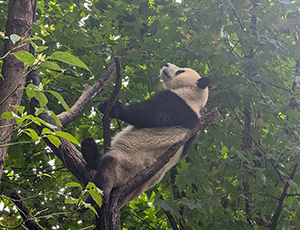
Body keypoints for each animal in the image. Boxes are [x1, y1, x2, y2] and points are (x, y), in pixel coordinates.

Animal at [81, 63, 210, 208]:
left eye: (180, 71)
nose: (166, 64)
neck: (194, 96)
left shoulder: (179, 105)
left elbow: (148, 115)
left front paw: (113, 107)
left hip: (128, 165)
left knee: (108, 169)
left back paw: (94, 198)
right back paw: (89, 149)